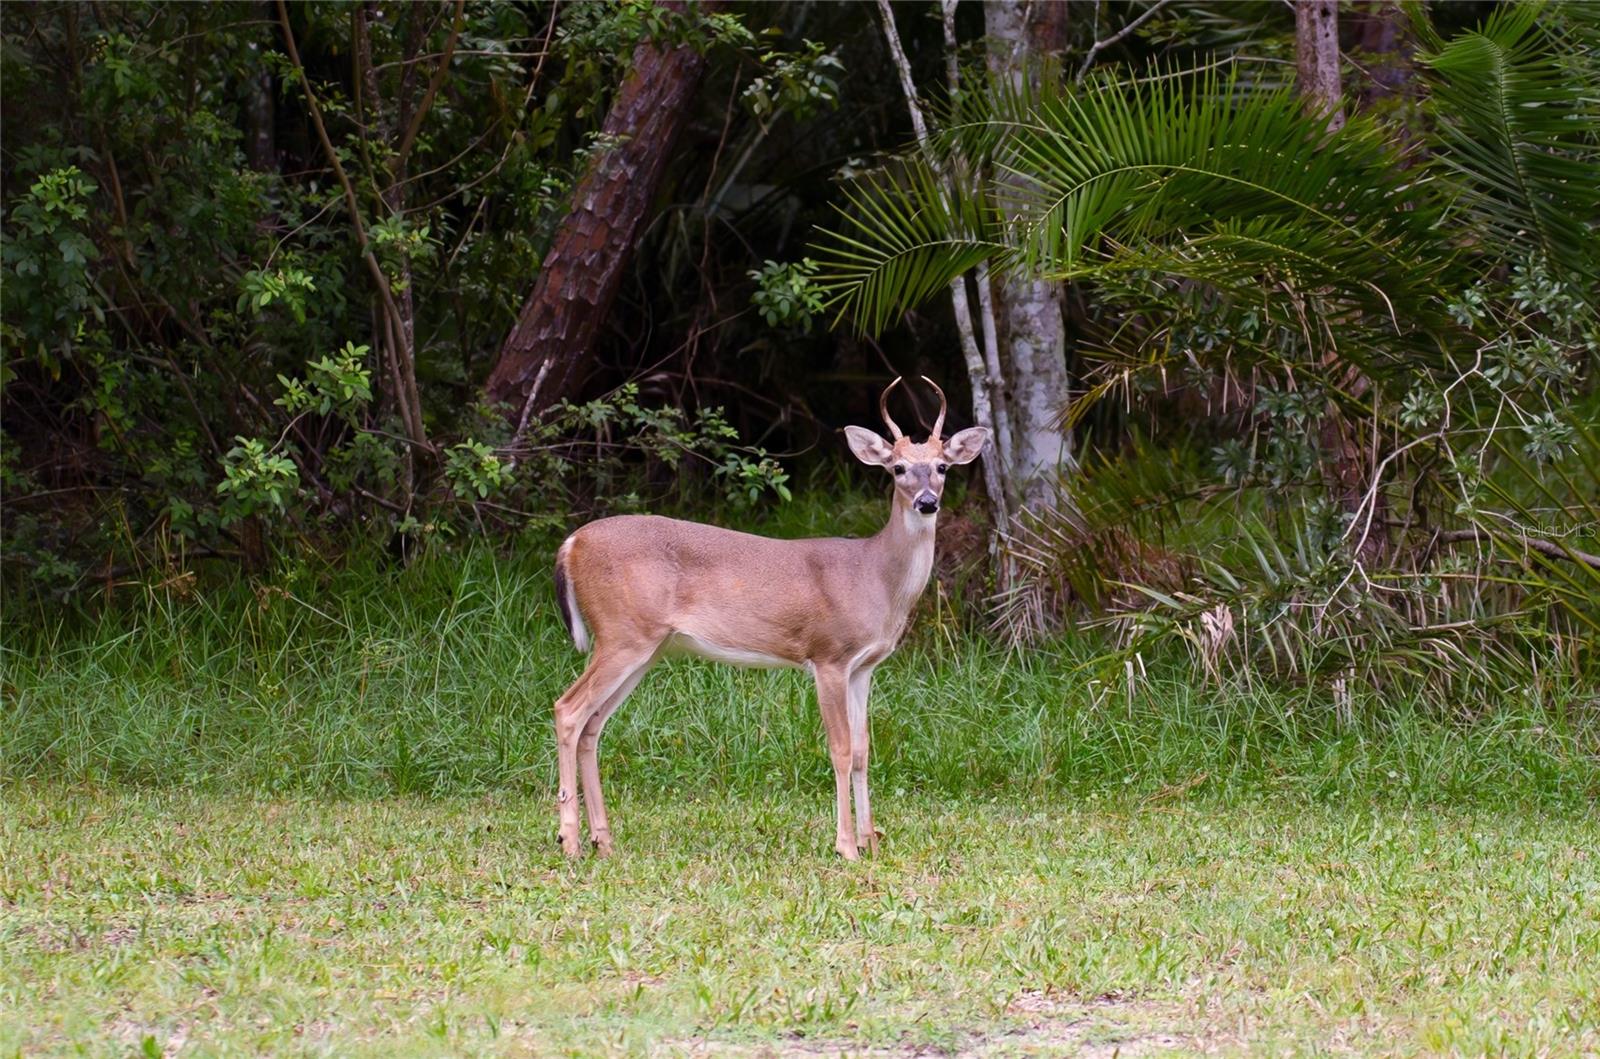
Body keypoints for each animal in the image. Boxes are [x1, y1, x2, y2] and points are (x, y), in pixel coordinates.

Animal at [550, 377, 985, 857]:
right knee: (568, 709)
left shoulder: (864, 667)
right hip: (621, 633)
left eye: (943, 466)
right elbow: (839, 748)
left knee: (592, 724)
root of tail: (570, 544)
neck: (874, 576)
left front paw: (871, 841)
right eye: (898, 469)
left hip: (647, 647)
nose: (927, 502)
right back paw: (569, 840)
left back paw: (603, 840)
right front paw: (846, 846)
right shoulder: (828, 655)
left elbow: (863, 750)